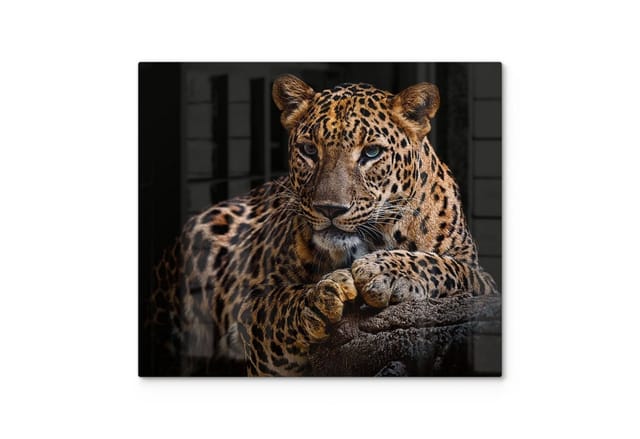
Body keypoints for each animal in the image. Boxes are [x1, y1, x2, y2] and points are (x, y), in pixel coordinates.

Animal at [144, 74, 498, 377]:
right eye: (309, 150)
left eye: (371, 152)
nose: (329, 208)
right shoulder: (251, 309)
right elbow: (276, 307)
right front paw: (316, 301)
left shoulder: (481, 278)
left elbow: (443, 265)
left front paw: (384, 271)